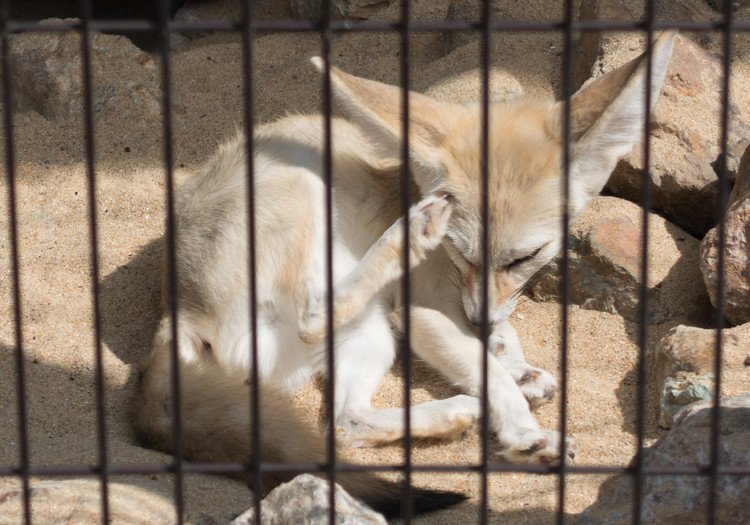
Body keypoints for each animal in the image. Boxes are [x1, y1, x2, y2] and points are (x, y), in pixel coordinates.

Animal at [137, 30, 680, 506]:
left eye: (524, 257)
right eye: (461, 252)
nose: (480, 320)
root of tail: (175, 312)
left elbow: (500, 338)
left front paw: (514, 362)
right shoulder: (422, 311)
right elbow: (486, 367)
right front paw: (523, 429)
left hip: (370, 332)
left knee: (345, 421)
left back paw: (457, 410)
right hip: (303, 196)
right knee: (315, 320)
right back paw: (412, 233)